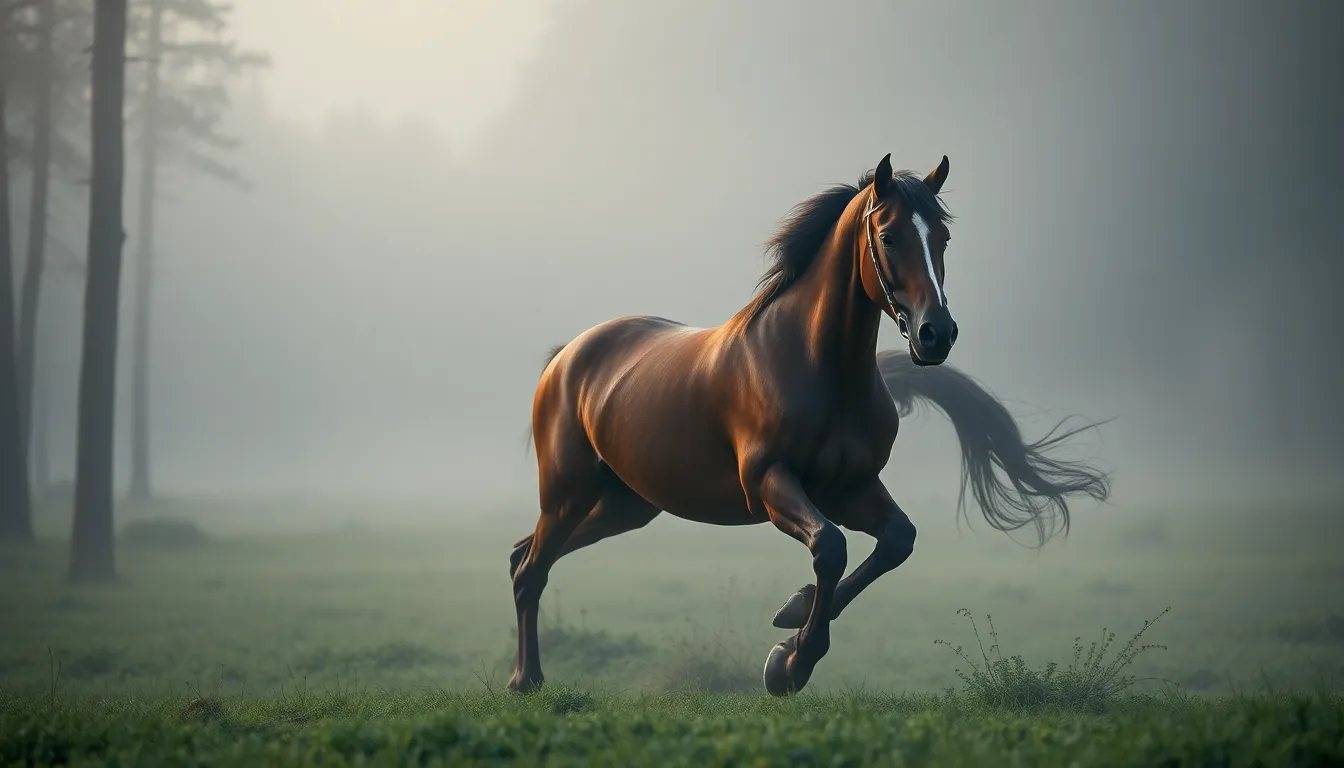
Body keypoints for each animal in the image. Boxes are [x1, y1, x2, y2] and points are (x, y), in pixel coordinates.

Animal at [507, 154, 1110, 696]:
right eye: (889, 236)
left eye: (942, 238)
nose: (936, 334)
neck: (815, 366)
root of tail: (566, 357)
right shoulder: (771, 484)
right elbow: (832, 548)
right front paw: (791, 662)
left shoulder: (849, 487)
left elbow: (897, 541)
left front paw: (791, 621)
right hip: (567, 493)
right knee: (531, 570)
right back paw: (525, 680)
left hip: (624, 505)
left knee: (524, 555)